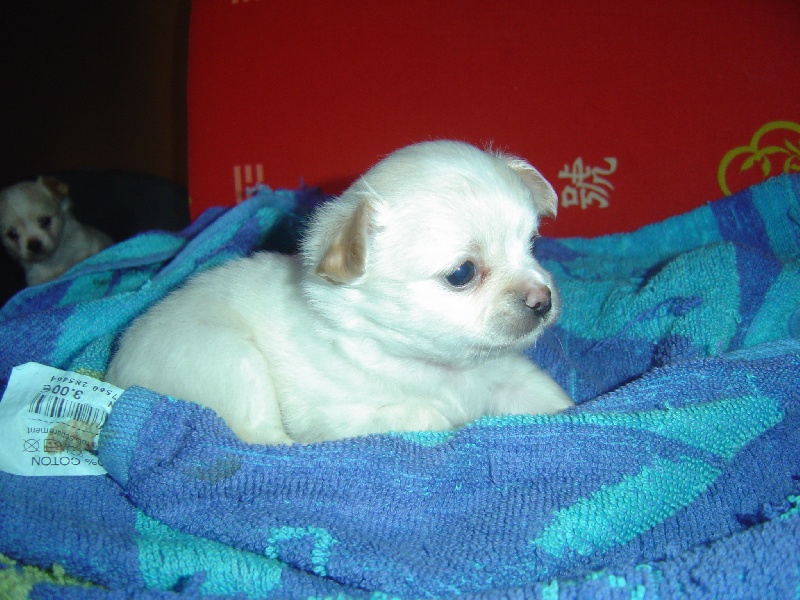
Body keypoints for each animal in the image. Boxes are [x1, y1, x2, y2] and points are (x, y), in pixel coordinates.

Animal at [105, 141, 573, 444]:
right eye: (462, 273)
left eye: (533, 244)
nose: (543, 300)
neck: (438, 367)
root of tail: (115, 370)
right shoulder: (336, 416)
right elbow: (424, 415)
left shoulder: (507, 377)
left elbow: (549, 398)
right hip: (229, 360)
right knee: (260, 438)